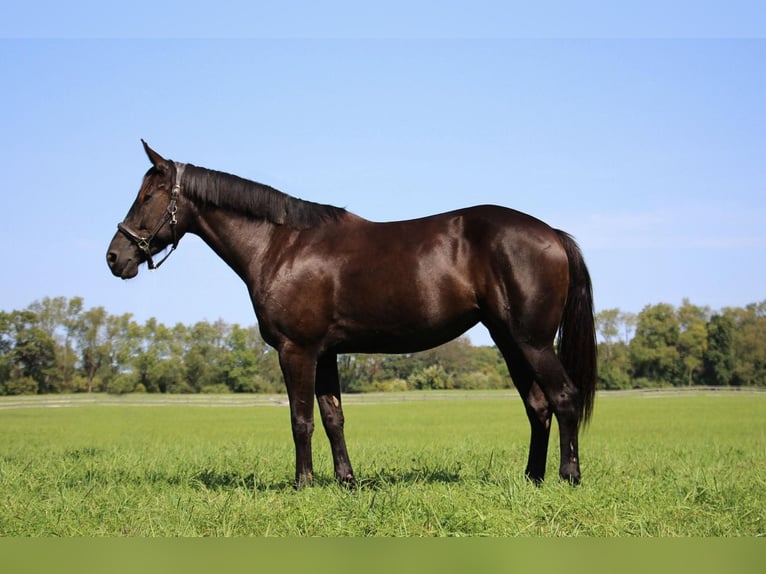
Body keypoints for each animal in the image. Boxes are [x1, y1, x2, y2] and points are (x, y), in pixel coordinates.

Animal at [106, 142, 600, 488]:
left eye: (147, 196)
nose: (115, 258)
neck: (281, 245)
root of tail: (551, 233)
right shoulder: (324, 353)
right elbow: (332, 417)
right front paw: (346, 481)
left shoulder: (296, 350)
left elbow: (301, 419)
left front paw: (302, 484)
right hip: (509, 341)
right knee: (538, 406)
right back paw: (532, 478)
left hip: (533, 342)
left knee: (563, 398)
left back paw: (568, 477)